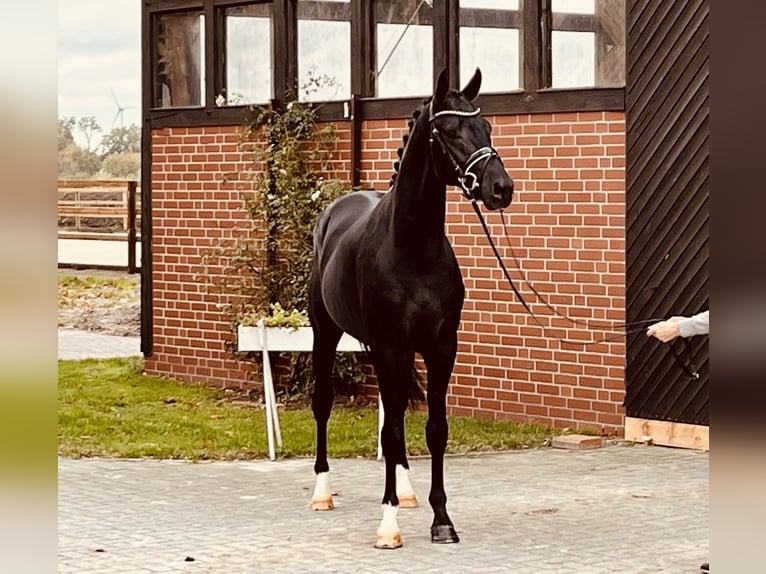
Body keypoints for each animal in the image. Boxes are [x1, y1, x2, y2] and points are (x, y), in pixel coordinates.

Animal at [308, 67, 516, 548]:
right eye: (450, 130)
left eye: (487, 126)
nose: (501, 188)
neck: (413, 249)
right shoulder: (389, 347)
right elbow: (390, 431)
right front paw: (388, 526)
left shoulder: (440, 347)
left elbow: (433, 430)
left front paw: (442, 519)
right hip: (325, 333)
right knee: (324, 403)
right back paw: (323, 492)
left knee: (398, 416)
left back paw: (404, 491)